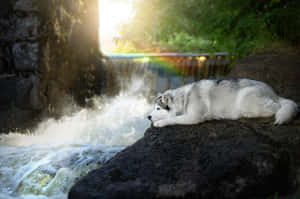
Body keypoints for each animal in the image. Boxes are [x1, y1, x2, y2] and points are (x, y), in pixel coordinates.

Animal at [148, 78, 298, 127]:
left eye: (158, 108)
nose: (148, 117)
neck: (184, 98)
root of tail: (274, 93)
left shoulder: (193, 117)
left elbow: (174, 119)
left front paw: (160, 123)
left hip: (246, 99)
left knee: (276, 108)